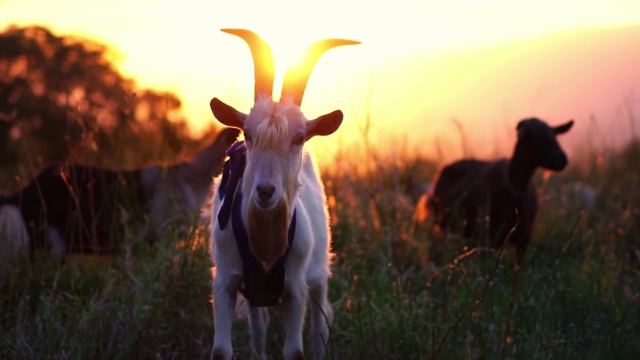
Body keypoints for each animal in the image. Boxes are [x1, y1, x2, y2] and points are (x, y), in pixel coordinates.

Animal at [210, 28, 360, 360]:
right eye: (248, 133)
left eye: (299, 136)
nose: (265, 191)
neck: (265, 242)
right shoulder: (225, 282)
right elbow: (222, 351)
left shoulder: (295, 288)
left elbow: (295, 351)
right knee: (260, 325)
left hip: (318, 275)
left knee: (321, 324)